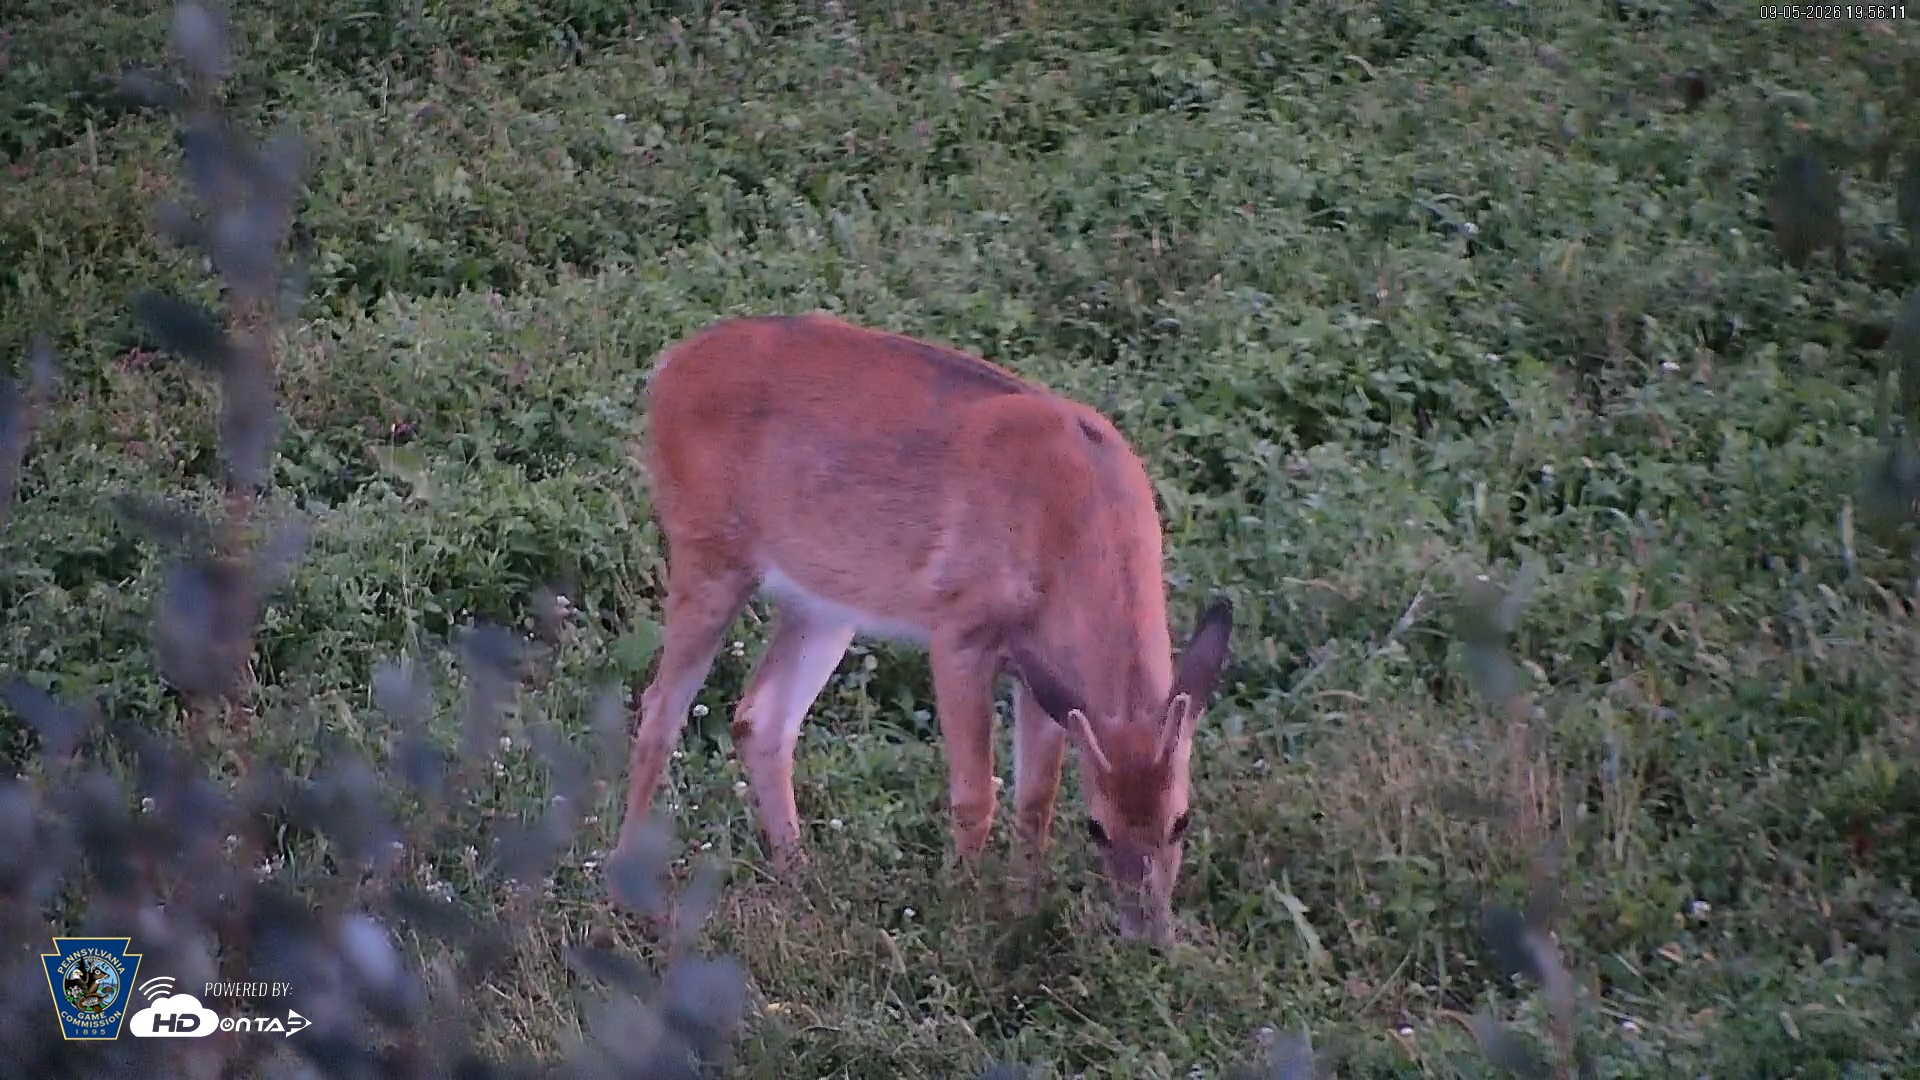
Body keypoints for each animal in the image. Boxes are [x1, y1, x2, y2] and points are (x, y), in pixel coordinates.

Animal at [612, 312, 1235, 948]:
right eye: (1097, 828)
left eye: (1181, 819)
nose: (1150, 937)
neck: (1069, 527)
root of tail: (669, 368)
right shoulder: (960, 629)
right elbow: (975, 794)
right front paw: (966, 921)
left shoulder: (1041, 674)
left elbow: (1035, 799)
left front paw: (1023, 911)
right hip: (708, 553)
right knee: (660, 708)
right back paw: (632, 896)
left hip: (824, 602)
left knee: (761, 717)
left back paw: (802, 880)